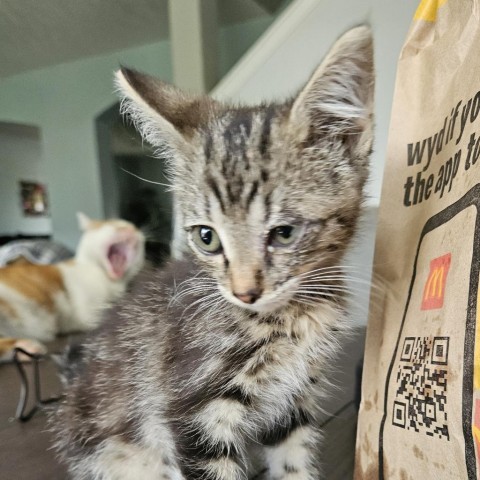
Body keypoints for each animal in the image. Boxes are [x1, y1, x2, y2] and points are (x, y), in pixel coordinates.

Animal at [0, 212, 144, 358]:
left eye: (135, 228)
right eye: (115, 225)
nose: (131, 230)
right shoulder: (89, 311)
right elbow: (114, 309)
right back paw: (26, 346)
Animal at [52, 27, 376, 480]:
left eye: (284, 233)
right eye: (207, 237)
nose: (244, 292)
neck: (290, 317)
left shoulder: (292, 404)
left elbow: (293, 463)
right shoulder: (193, 410)